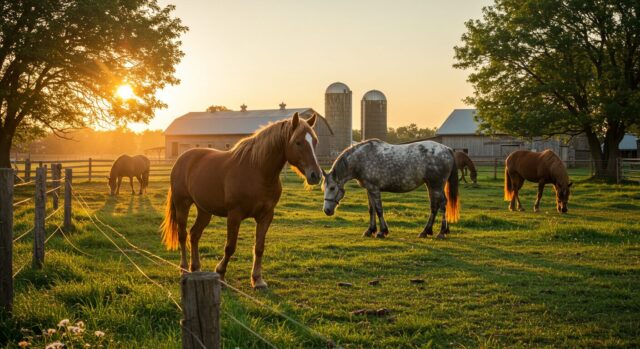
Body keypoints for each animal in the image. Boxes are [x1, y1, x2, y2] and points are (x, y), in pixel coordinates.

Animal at [160, 113, 320, 286]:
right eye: (298, 142)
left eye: (315, 141)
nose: (316, 175)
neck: (257, 171)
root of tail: (182, 159)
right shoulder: (234, 215)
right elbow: (230, 247)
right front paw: (220, 273)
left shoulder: (266, 216)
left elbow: (259, 247)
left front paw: (257, 279)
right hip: (182, 204)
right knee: (182, 234)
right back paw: (183, 268)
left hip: (204, 210)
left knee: (194, 234)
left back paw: (195, 268)